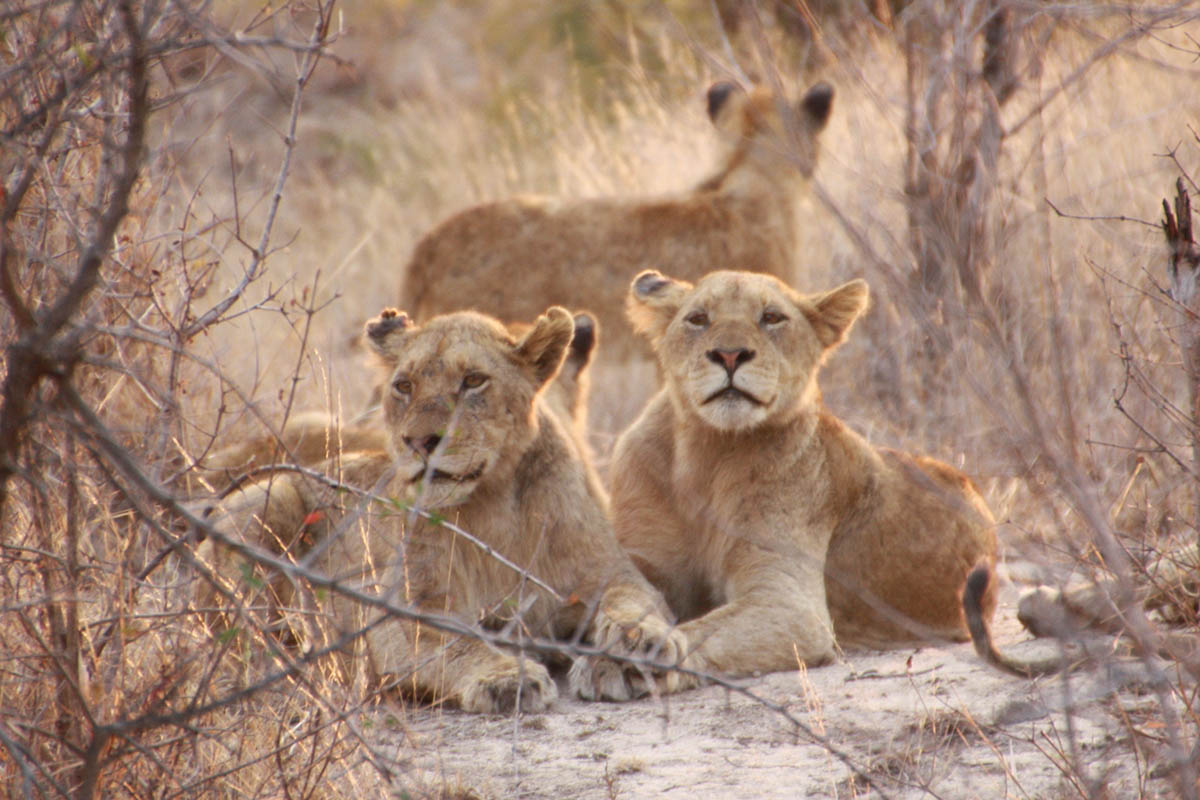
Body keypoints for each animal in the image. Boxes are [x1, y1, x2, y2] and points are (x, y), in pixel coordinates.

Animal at [200, 307, 681, 714]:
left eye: (473, 381)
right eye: (404, 386)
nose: (418, 441)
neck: (492, 506)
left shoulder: (610, 575)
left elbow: (631, 604)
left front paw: (637, 650)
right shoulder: (401, 614)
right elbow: (458, 642)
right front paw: (506, 678)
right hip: (269, 498)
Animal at [609, 271, 993, 681]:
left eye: (772, 317)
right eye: (698, 319)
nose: (729, 355)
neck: (708, 451)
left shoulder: (789, 602)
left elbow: (705, 630)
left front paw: (646, 654)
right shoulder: (642, 557)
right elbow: (617, 594)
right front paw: (629, 640)